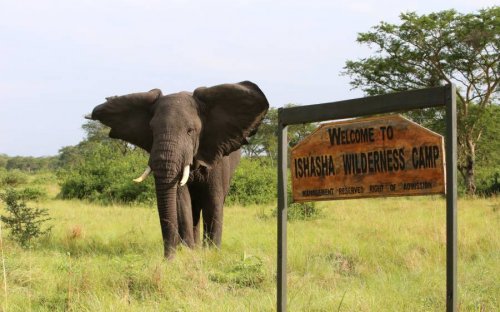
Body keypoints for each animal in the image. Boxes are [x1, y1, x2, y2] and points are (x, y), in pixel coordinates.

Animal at [85, 81, 270, 258]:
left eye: (190, 131)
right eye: (152, 130)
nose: (168, 258)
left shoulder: (217, 158)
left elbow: (213, 200)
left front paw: (211, 254)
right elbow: (181, 202)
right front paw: (189, 253)